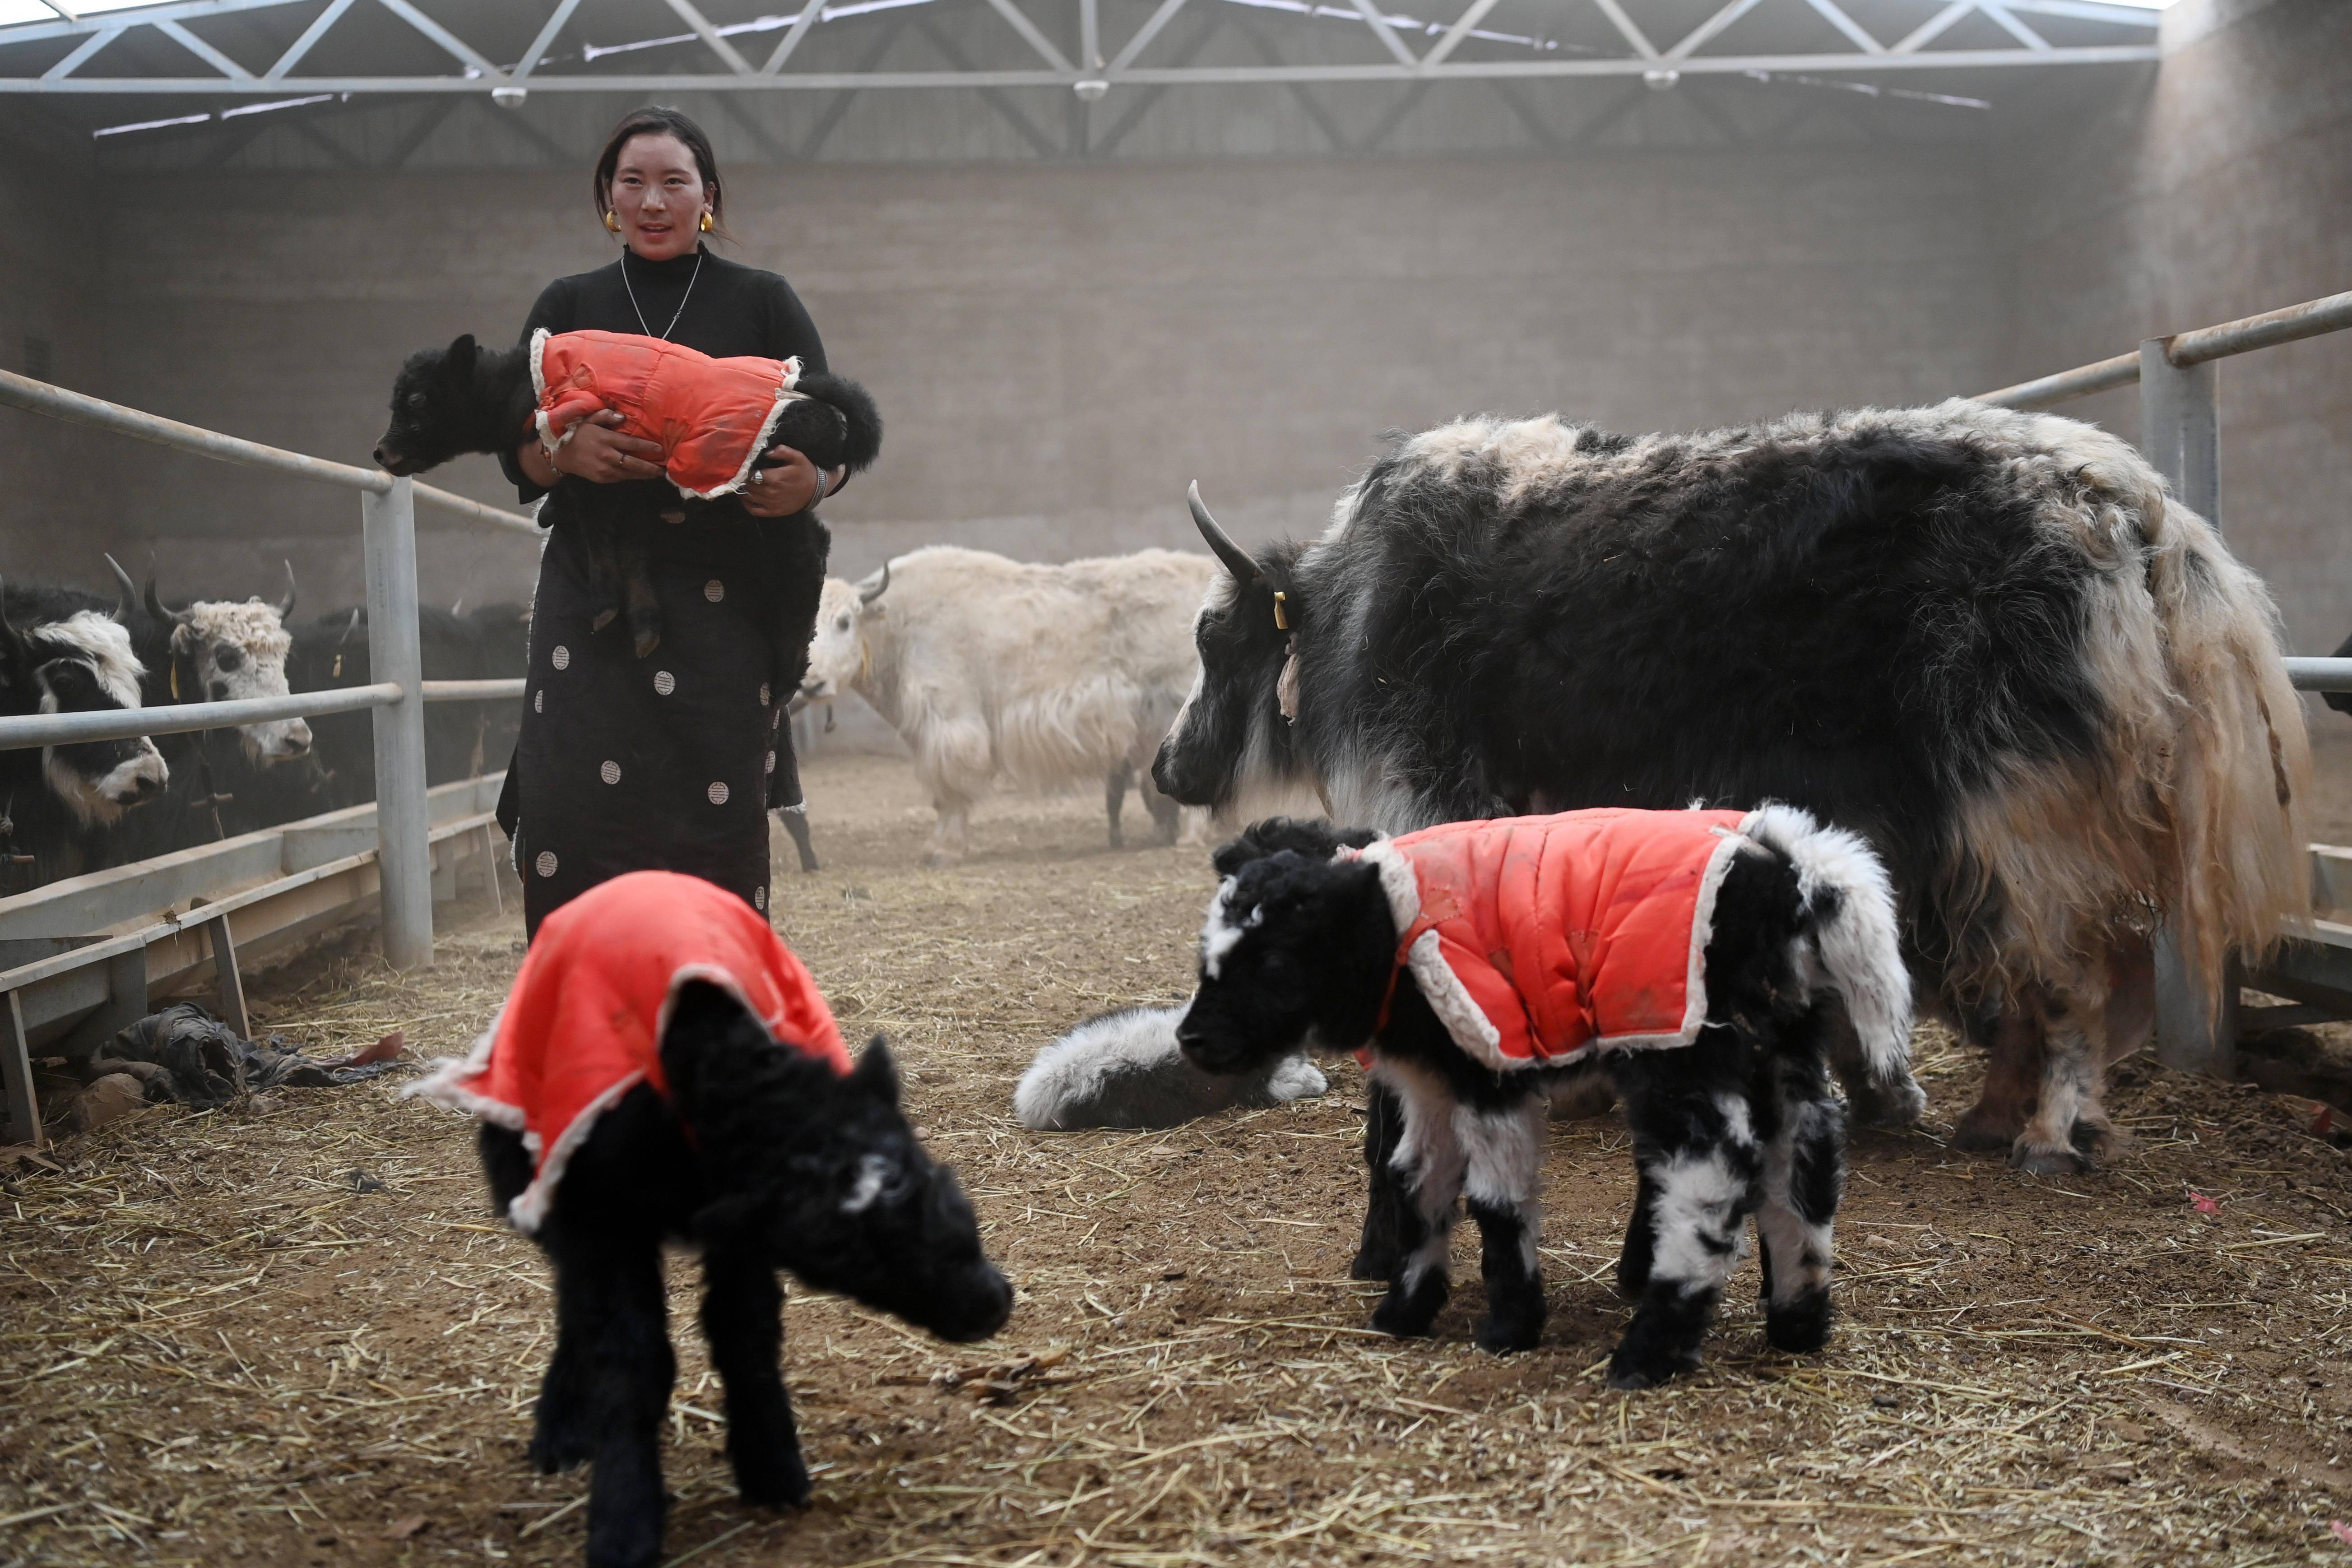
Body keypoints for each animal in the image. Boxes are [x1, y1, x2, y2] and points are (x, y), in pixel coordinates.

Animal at [414, 870, 1002, 1568]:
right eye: (840, 1251)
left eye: (926, 1173)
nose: (992, 1303)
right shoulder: (600, 1219)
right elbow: (632, 1358)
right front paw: (625, 1519)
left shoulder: (743, 1228)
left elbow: (744, 1331)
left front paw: (773, 1467)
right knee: (576, 1314)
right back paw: (561, 1430)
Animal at [1162, 404, 2314, 1175]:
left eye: (1212, 638)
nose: (1171, 767)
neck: (1347, 606)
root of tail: (2132, 505)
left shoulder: (1448, 796)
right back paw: (1982, 1118)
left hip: (2021, 807)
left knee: (2065, 970)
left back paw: (2046, 1135)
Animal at [1176, 808, 1910, 1382]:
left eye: (1275, 960)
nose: (1190, 1039)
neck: (1393, 931)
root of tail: (1785, 876)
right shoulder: (1434, 1078)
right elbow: (1417, 1183)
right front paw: (1404, 1311)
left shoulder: (1490, 1060)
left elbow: (1497, 1201)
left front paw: (1509, 1326)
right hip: (1784, 1039)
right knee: (1805, 1169)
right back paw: (1798, 1322)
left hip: (1680, 1037)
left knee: (1711, 1181)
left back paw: (1651, 1349)